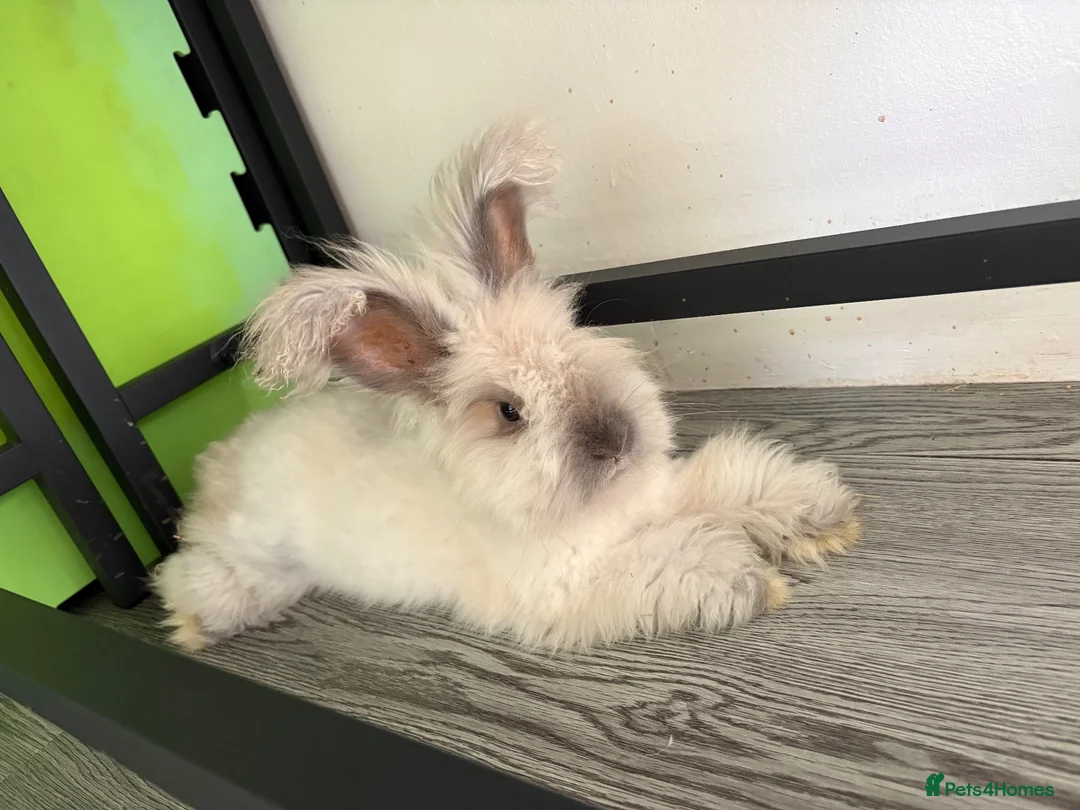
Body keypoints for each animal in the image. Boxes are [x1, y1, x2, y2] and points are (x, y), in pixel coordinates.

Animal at [154, 114, 861, 652]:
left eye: (575, 335)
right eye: (507, 412)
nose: (615, 441)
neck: (603, 508)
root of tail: (221, 459)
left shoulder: (667, 492)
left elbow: (737, 482)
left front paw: (826, 519)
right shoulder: (575, 582)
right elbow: (681, 556)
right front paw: (756, 579)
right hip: (255, 557)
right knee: (188, 576)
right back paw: (191, 627)